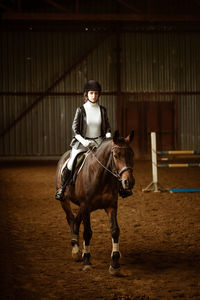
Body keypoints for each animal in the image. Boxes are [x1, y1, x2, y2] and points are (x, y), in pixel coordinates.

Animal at [55, 130, 135, 276]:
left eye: (131, 154)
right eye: (116, 155)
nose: (129, 182)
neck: (100, 175)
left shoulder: (111, 206)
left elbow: (115, 230)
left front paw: (115, 264)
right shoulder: (86, 207)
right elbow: (87, 232)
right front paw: (87, 261)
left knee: (76, 220)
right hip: (64, 201)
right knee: (70, 218)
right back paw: (75, 249)